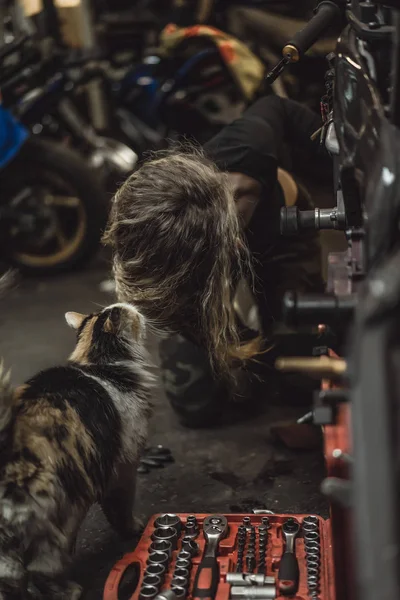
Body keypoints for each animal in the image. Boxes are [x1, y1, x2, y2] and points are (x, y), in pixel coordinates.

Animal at [0, 304, 153, 600]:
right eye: (133, 314)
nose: (139, 309)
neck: (100, 366)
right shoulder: (123, 468)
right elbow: (121, 509)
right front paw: (134, 528)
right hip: (57, 521)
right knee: (40, 569)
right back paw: (69, 591)